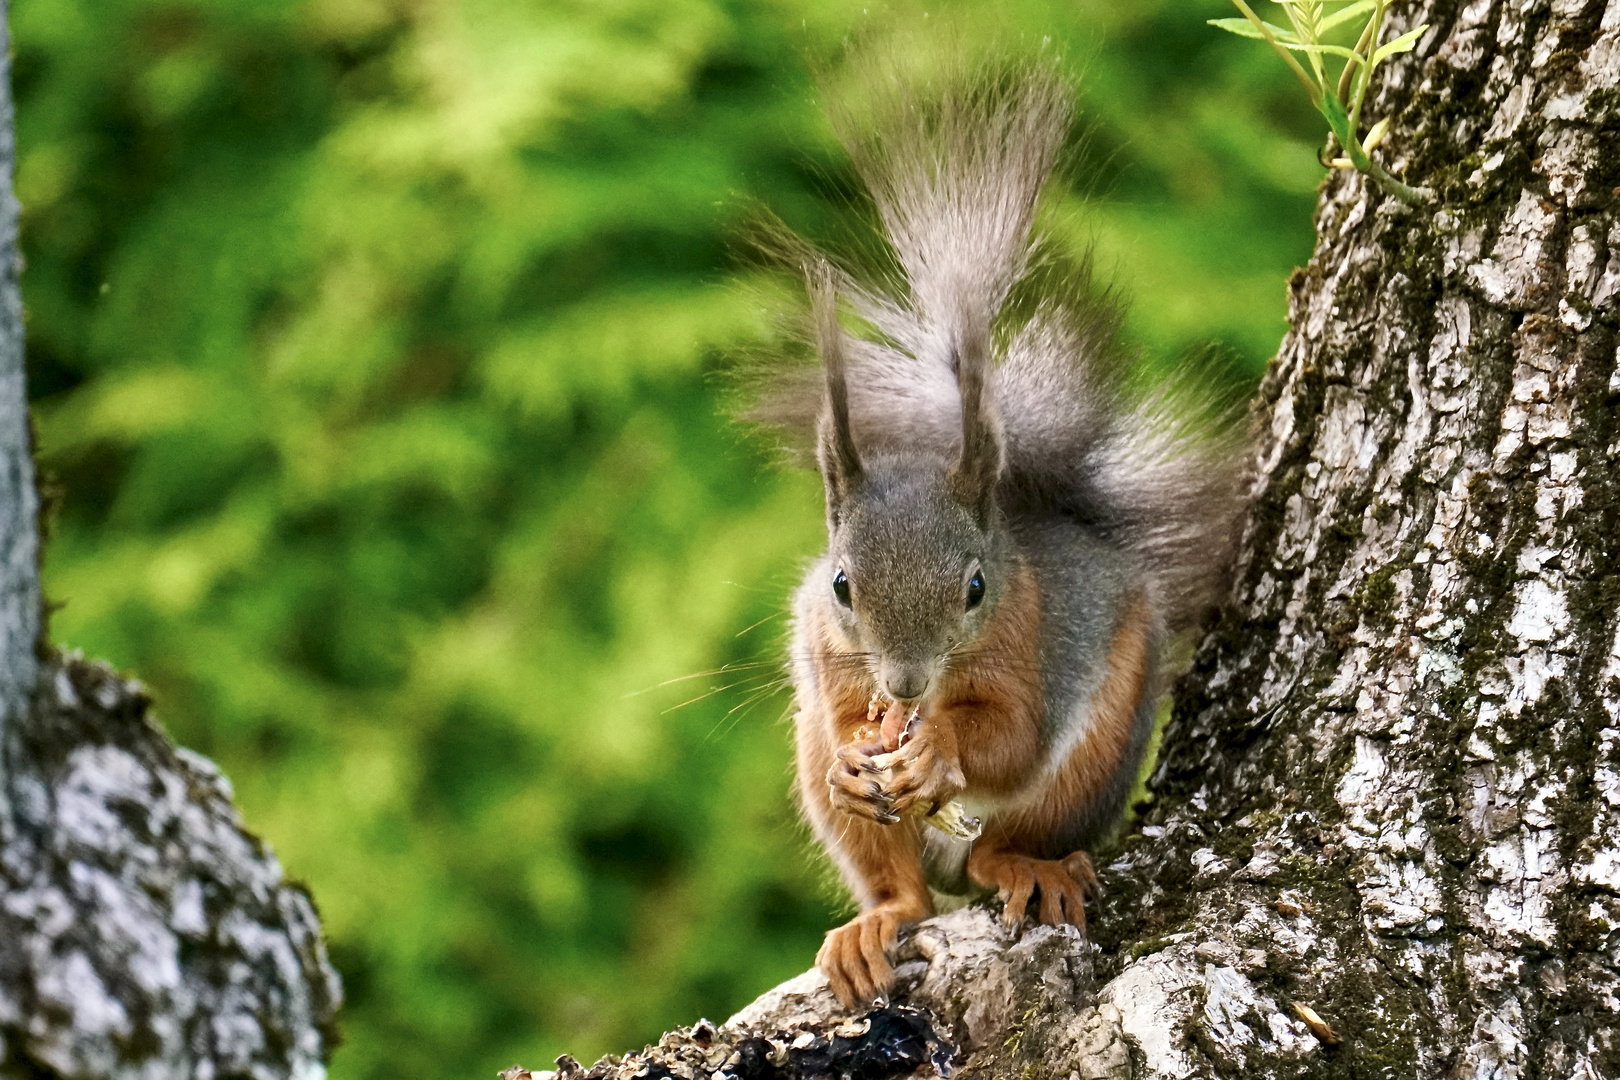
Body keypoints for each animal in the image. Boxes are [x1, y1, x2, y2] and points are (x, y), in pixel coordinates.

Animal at [741, 52, 1237, 1016]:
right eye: (841, 584)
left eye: (975, 588)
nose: (905, 682)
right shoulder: (824, 649)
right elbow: (847, 715)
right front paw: (864, 751)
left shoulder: (1030, 641)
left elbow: (1010, 735)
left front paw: (937, 747)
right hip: (831, 796)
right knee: (903, 889)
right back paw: (873, 923)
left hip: (1092, 759)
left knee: (1000, 846)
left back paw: (1022, 867)